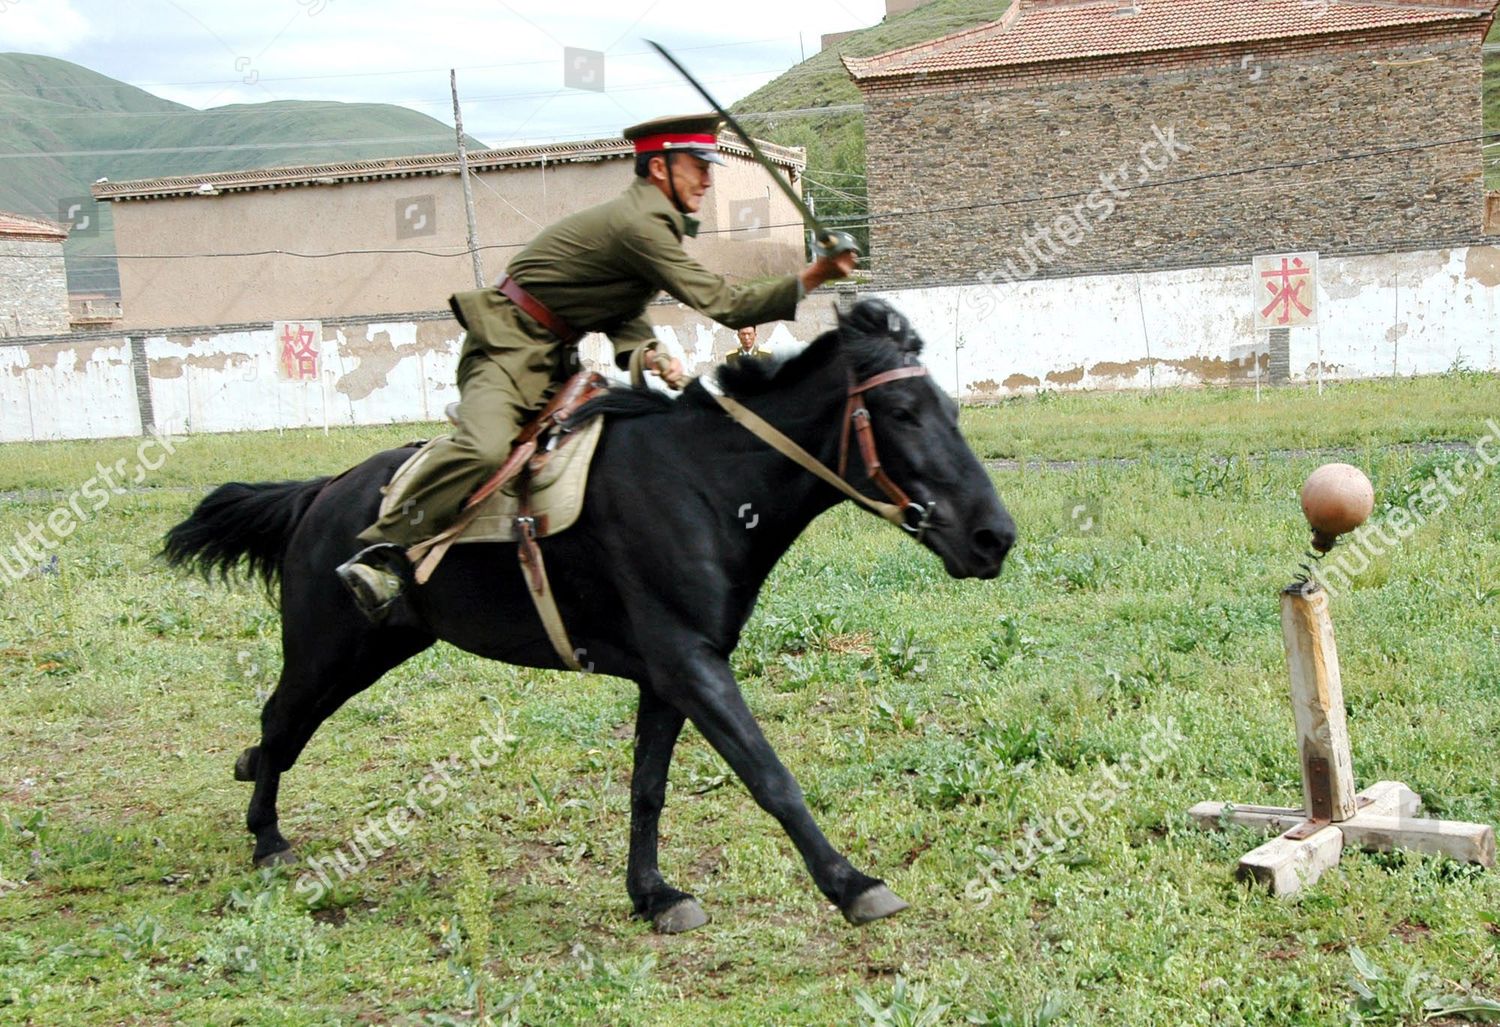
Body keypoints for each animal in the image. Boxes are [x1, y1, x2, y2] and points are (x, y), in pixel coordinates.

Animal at [164, 296, 1014, 929]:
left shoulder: (670, 674)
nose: (993, 536)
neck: (703, 482)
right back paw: (266, 834)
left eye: (951, 407)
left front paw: (654, 894)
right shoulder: (691, 664)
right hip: (327, 646)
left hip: (371, 650)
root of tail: (321, 492)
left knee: (284, 728)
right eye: (900, 409)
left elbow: (649, 787)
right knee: (282, 719)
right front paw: (851, 882)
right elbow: (769, 774)